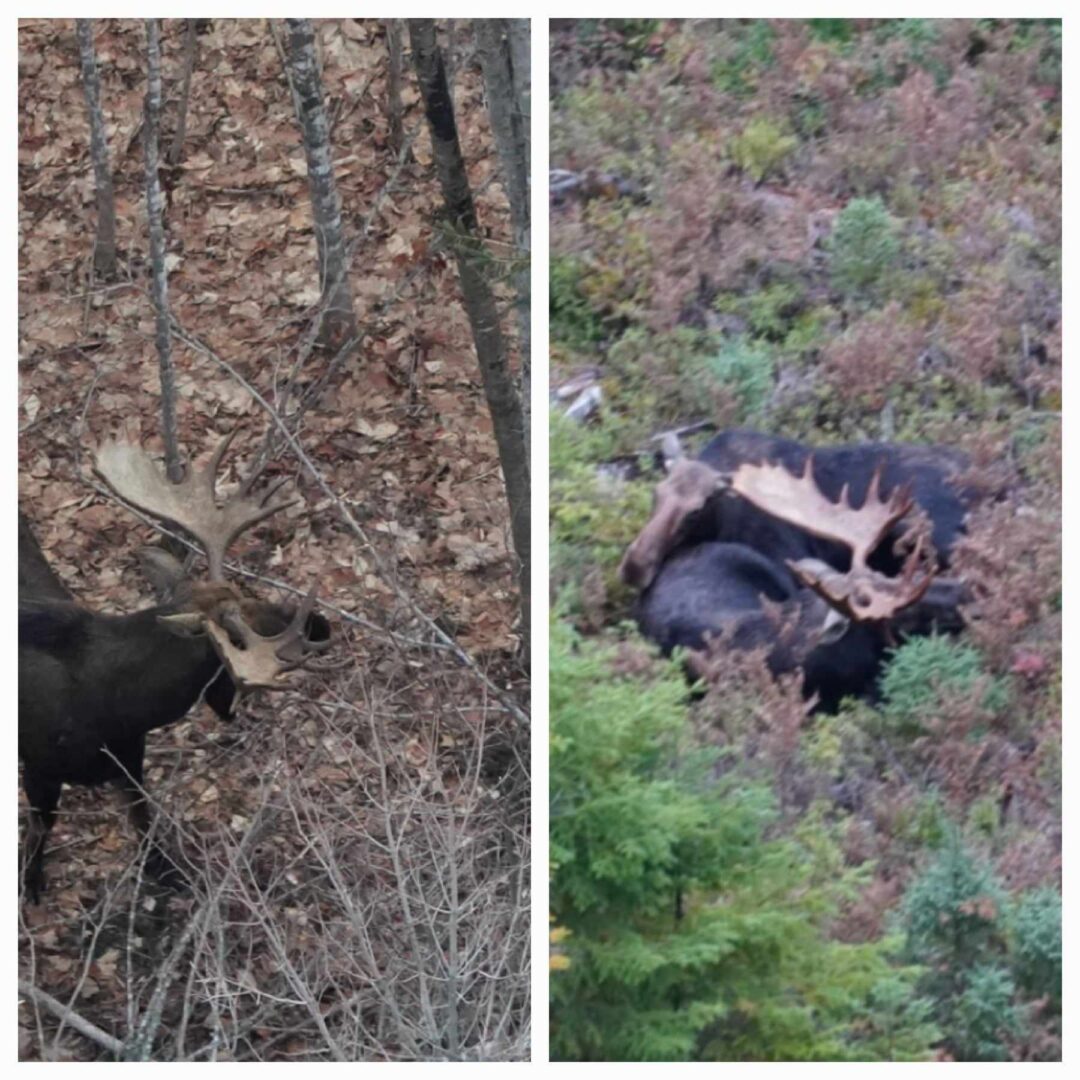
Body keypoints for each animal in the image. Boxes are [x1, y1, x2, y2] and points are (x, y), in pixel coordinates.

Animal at [16, 429, 328, 902]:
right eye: (239, 636)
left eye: (253, 592)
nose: (321, 623)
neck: (114, 708)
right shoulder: (38, 765)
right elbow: (39, 830)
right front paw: (30, 886)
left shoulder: (129, 757)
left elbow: (143, 820)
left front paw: (167, 873)